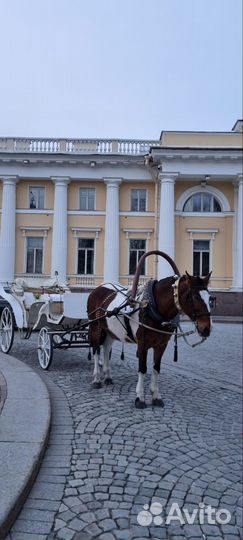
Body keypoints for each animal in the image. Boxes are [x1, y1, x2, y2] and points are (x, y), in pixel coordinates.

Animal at [87, 270, 213, 410]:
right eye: (196, 297)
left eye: (210, 298)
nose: (206, 329)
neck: (152, 307)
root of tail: (98, 288)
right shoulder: (142, 344)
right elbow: (143, 368)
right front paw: (139, 397)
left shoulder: (161, 345)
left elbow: (156, 368)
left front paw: (156, 396)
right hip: (95, 327)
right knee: (96, 350)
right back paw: (97, 379)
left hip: (110, 330)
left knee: (106, 348)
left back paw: (107, 376)